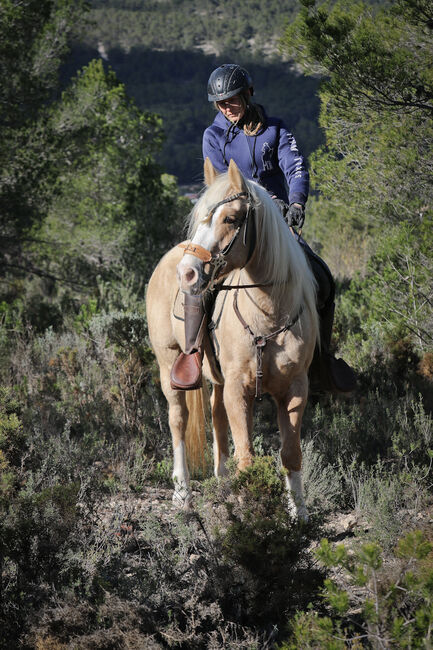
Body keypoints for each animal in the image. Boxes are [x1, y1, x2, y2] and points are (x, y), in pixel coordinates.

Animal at [147, 156, 318, 516]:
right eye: (199, 217)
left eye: (230, 218)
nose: (188, 273)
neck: (268, 315)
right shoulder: (239, 388)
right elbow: (247, 457)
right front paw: (251, 511)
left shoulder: (295, 389)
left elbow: (290, 453)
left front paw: (299, 513)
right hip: (169, 366)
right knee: (178, 421)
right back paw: (182, 492)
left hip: (217, 378)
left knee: (216, 417)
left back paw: (222, 481)